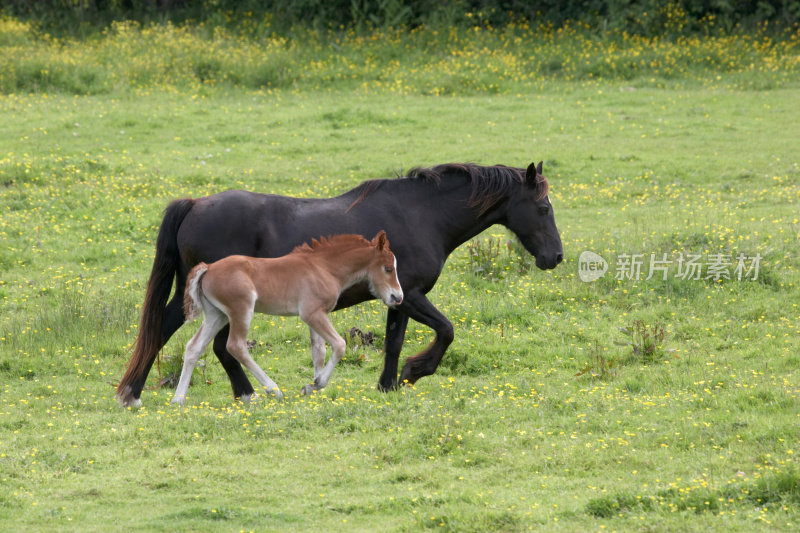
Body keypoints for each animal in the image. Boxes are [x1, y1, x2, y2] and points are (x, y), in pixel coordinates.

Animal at [117, 160, 564, 406]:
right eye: (543, 207)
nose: (556, 257)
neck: (422, 214)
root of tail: (195, 204)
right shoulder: (412, 295)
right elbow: (447, 331)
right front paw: (415, 371)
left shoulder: (398, 298)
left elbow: (394, 341)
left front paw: (388, 385)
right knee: (175, 330)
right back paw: (134, 393)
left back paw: (244, 393)